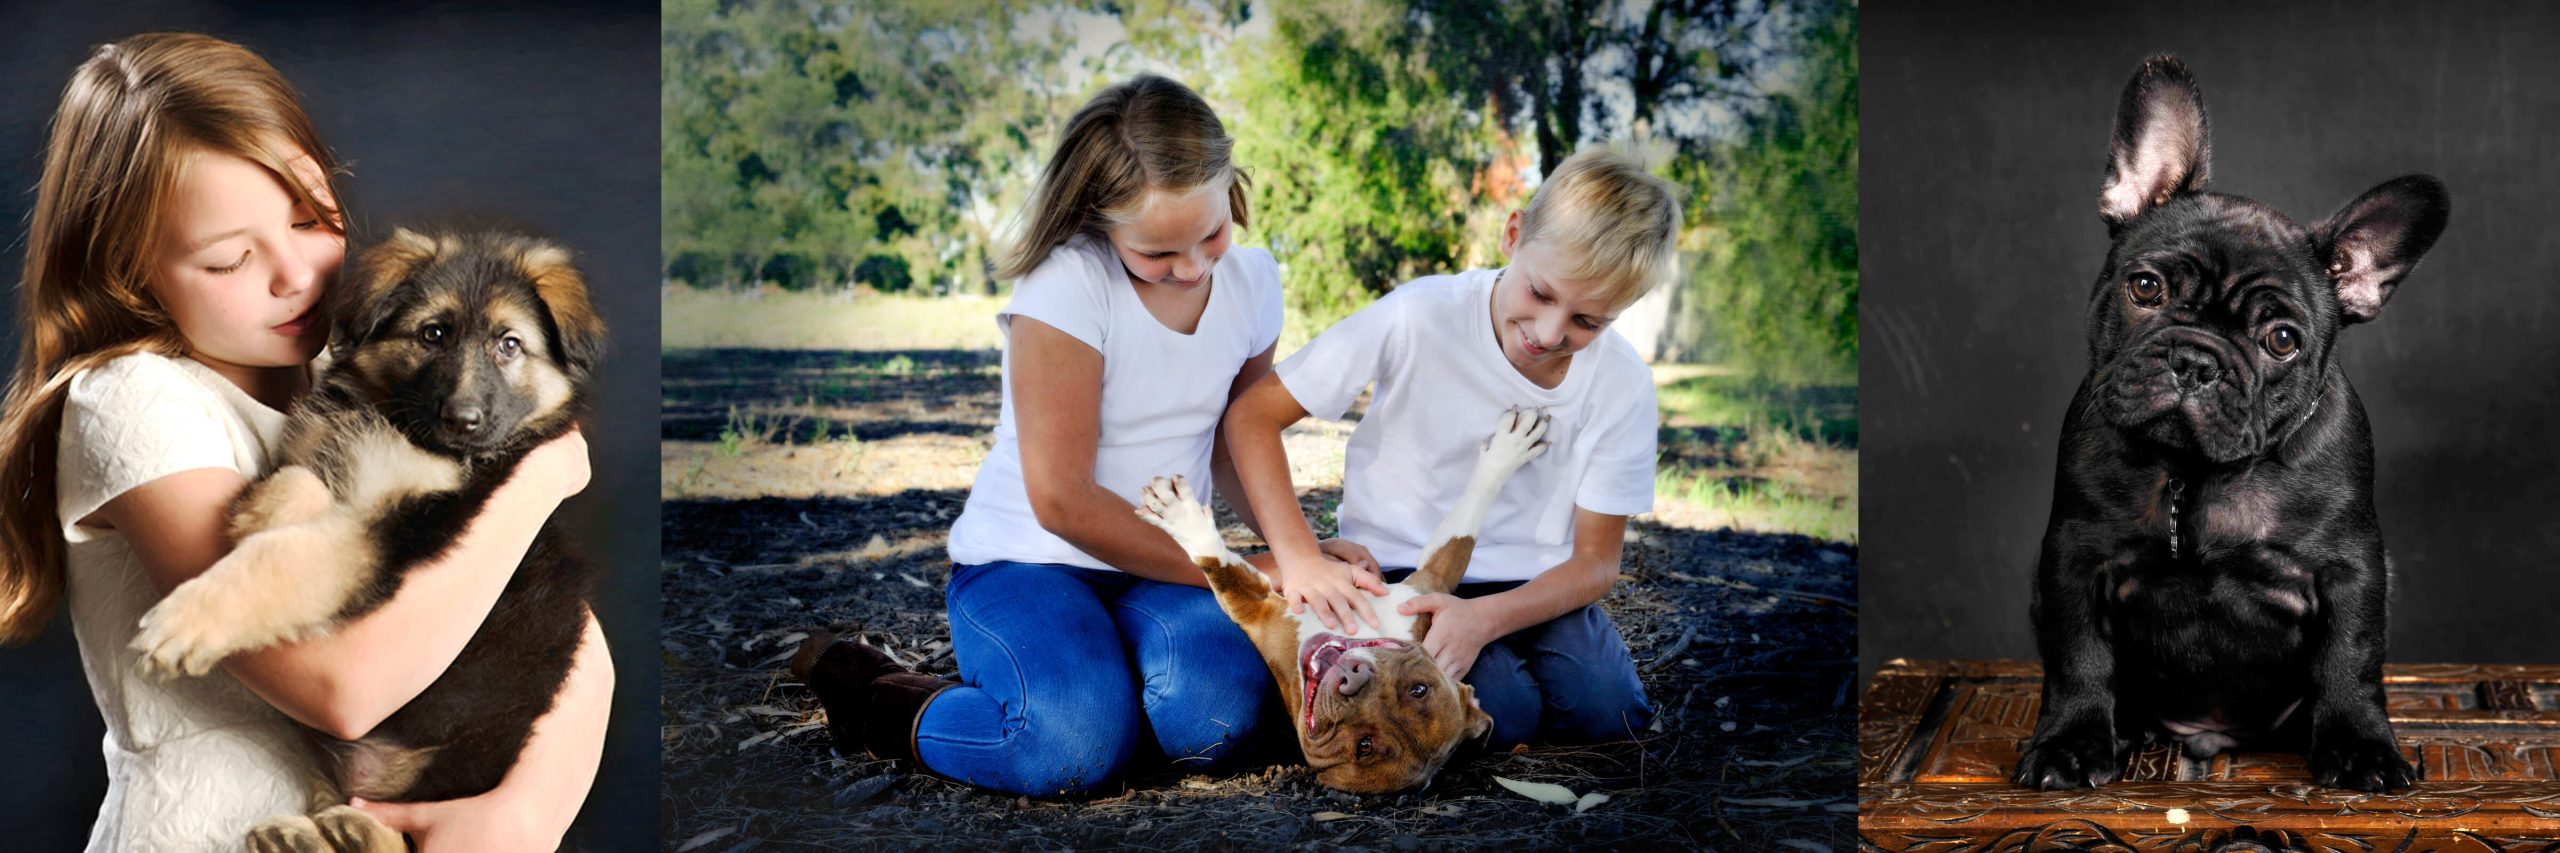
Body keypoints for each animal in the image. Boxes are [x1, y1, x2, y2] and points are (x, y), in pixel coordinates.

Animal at [1131, 404, 1546, 788]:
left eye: (1364, 746)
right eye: (1418, 689)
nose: (1352, 678)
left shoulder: (1257, 611)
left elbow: (1217, 565)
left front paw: (1180, 516)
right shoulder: (1430, 584)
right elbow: (1463, 528)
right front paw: (1509, 448)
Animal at [2017, 58, 2437, 788]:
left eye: (2281, 340)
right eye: (2147, 287)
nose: (2195, 360)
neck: (2198, 473)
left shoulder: (2352, 571)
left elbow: (2349, 661)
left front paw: (2361, 746)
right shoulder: (2073, 557)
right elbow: (2078, 658)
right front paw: (2071, 741)